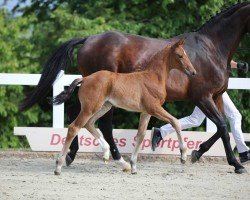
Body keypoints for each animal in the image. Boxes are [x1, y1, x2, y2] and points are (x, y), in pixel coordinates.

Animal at [53, 39, 196, 175]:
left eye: (186, 54)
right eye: (180, 55)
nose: (193, 72)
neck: (152, 77)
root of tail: (85, 78)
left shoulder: (146, 112)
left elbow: (140, 135)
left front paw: (133, 166)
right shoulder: (154, 108)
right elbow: (175, 122)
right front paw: (183, 156)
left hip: (104, 107)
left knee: (89, 123)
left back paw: (106, 154)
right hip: (90, 107)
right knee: (74, 127)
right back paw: (59, 166)